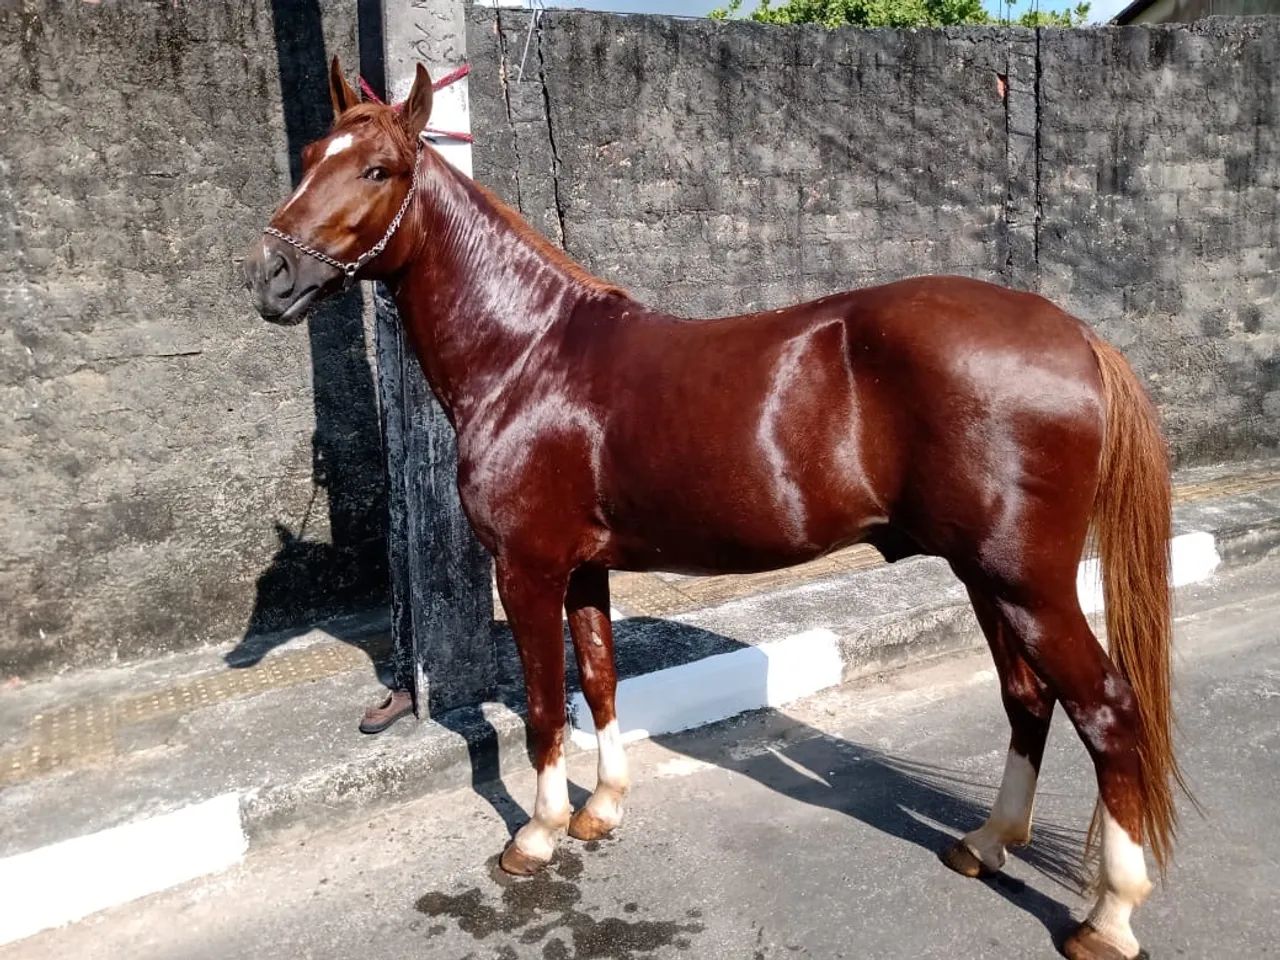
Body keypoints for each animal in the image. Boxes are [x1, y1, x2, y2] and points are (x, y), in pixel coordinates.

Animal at [244, 58, 1188, 960]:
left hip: (1029, 585)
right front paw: (602, 809)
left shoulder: (528, 568)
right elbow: (600, 681)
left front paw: (538, 836)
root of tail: (1075, 335)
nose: (269, 276)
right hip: (986, 576)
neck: (527, 357)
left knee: (1107, 711)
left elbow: (546, 706)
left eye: (378, 168)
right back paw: (987, 842)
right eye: (308, 156)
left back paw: (1108, 917)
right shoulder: (584, 567)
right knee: (1027, 698)